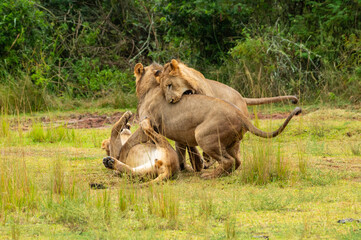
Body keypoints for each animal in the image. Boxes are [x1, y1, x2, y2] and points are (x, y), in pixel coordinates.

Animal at [116, 62, 300, 179]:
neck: (149, 88)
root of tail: (241, 115)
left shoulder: (148, 124)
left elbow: (128, 144)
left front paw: (118, 160)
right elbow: (182, 149)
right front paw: (187, 166)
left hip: (203, 135)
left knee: (228, 161)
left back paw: (208, 175)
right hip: (231, 142)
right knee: (237, 161)